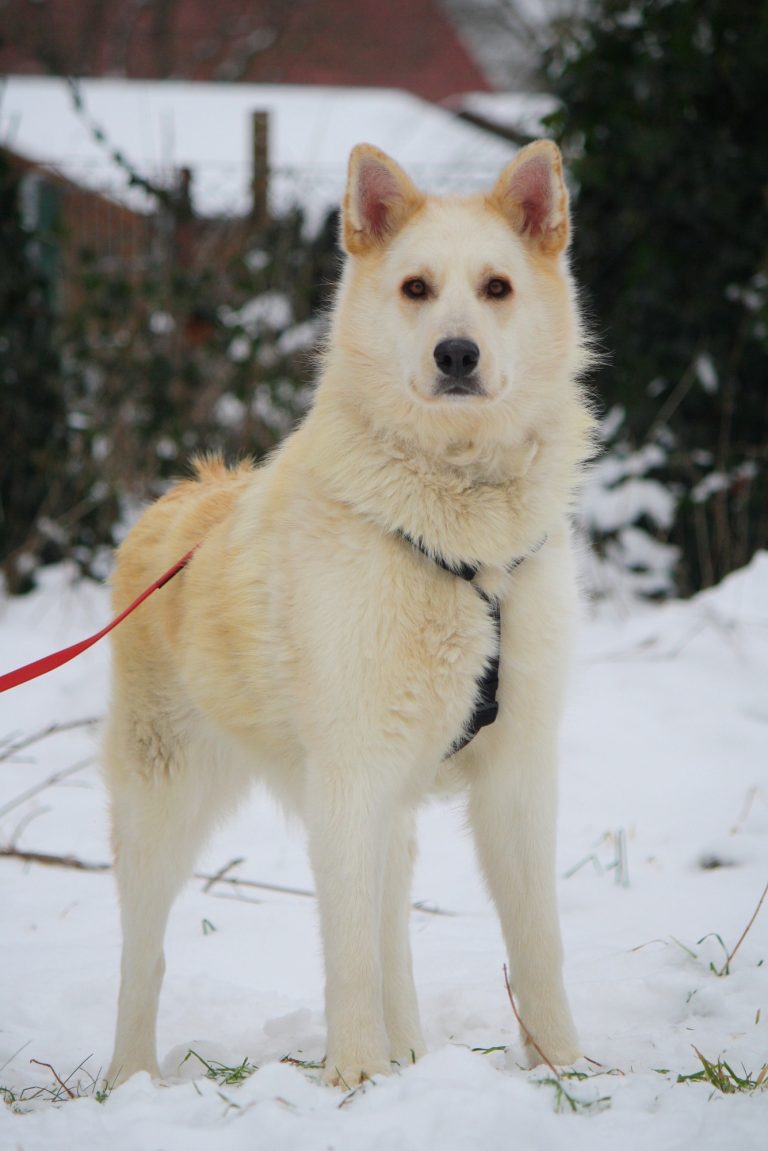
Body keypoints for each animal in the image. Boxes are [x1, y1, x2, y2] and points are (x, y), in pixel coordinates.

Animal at [103, 140, 595, 1088]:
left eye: (497, 287)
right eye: (415, 287)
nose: (455, 353)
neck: (458, 535)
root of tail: (177, 500)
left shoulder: (518, 776)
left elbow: (541, 946)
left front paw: (571, 1073)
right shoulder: (350, 775)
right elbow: (350, 958)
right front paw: (357, 1081)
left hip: (387, 813)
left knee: (391, 930)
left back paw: (413, 1055)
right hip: (162, 809)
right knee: (144, 959)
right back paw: (129, 1081)